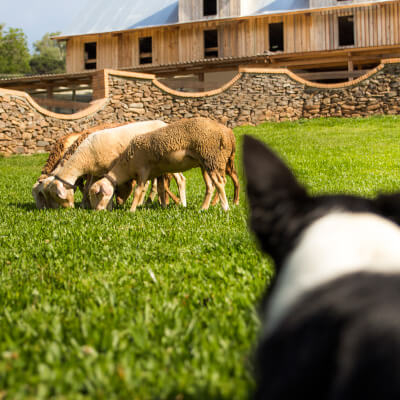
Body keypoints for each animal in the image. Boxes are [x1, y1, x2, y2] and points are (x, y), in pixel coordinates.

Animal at [88, 116, 238, 212]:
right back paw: (203, 208)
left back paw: (225, 208)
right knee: (210, 186)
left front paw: (131, 210)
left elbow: (138, 192)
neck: (126, 165)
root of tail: (226, 134)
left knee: (219, 183)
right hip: (206, 163)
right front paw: (164, 207)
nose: (96, 212)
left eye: (96, 194)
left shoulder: (142, 171)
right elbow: (161, 189)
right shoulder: (158, 172)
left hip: (211, 158)